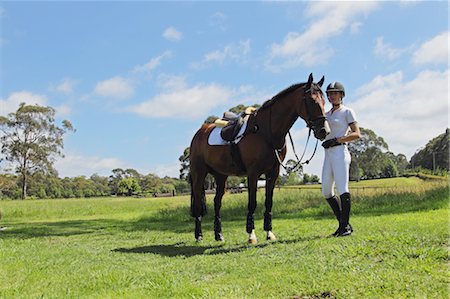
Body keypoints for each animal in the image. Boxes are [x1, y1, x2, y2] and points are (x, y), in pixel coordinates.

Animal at [188, 74, 328, 245]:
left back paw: (219, 235)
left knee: (217, 203)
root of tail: (199, 134)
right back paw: (199, 235)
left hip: (221, 176)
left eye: (324, 101)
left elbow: (268, 202)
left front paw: (269, 233)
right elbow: (252, 203)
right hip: (199, 174)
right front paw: (251, 235)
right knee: (197, 204)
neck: (266, 131)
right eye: (312, 101)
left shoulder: (273, 173)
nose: (324, 131)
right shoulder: (253, 173)